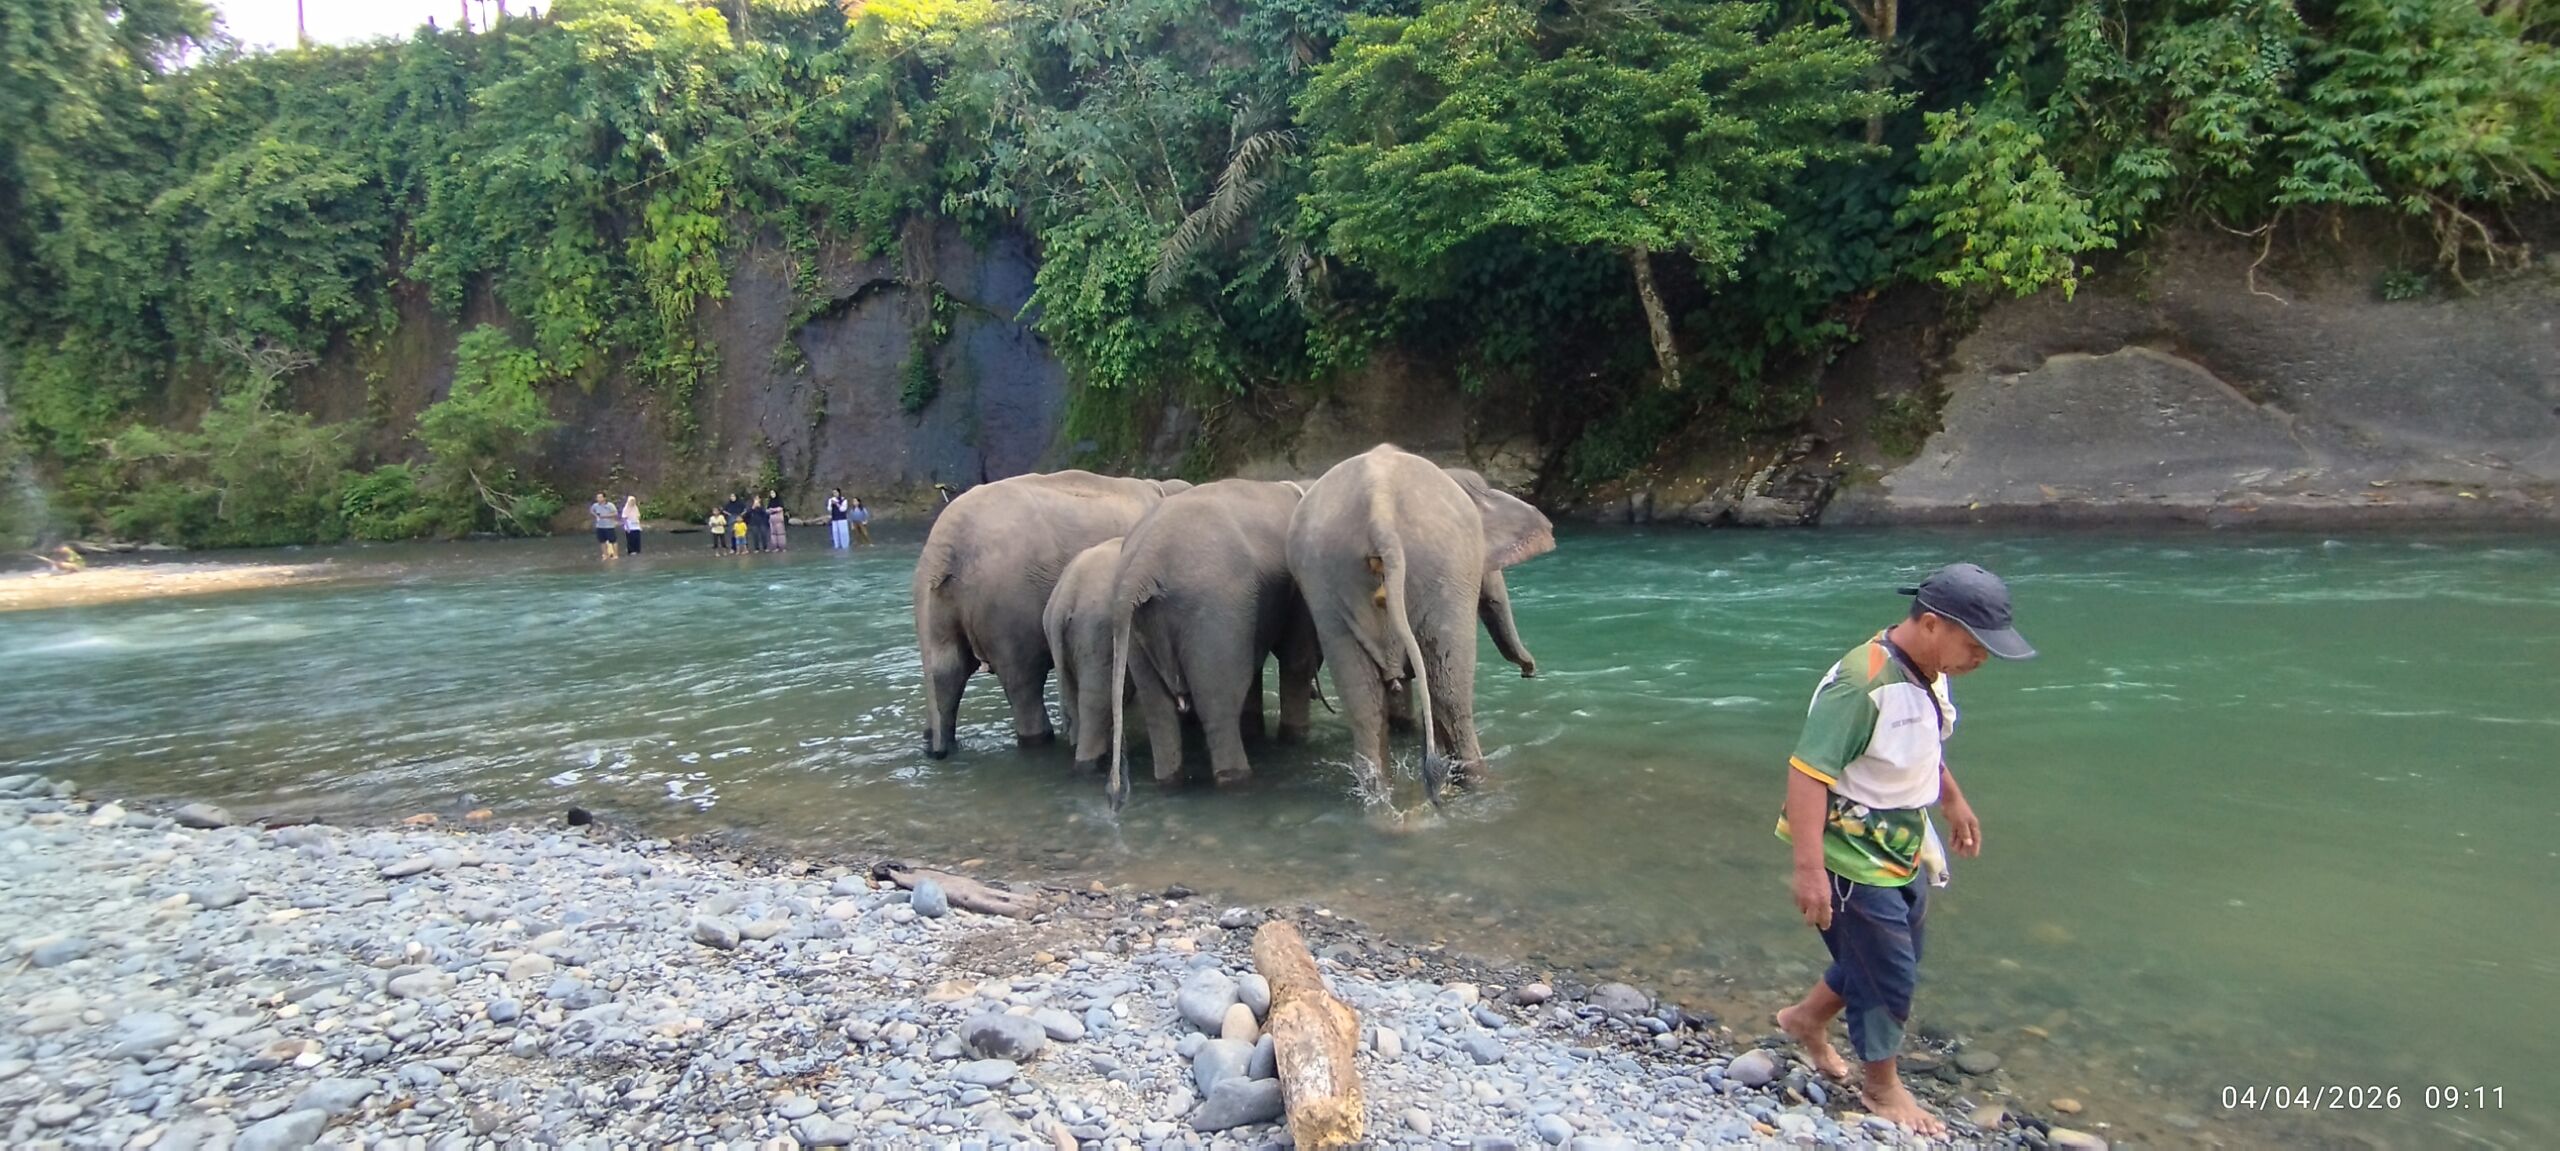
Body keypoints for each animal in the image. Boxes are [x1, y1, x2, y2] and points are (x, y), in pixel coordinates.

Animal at [1105, 478, 1322, 809]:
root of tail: (1140, 566)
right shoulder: (1296, 591)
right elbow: (1296, 659)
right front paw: (1294, 741)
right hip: (1213, 612)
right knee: (1218, 711)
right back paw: (1239, 783)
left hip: (1140, 635)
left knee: (1159, 713)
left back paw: (1170, 784)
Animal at [1285, 444, 1553, 805]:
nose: (1529, 671)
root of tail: (1379, 509)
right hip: (1443, 569)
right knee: (1450, 692)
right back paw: (1477, 784)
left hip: (1325, 578)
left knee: (1364, 705)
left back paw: (1380, 799)